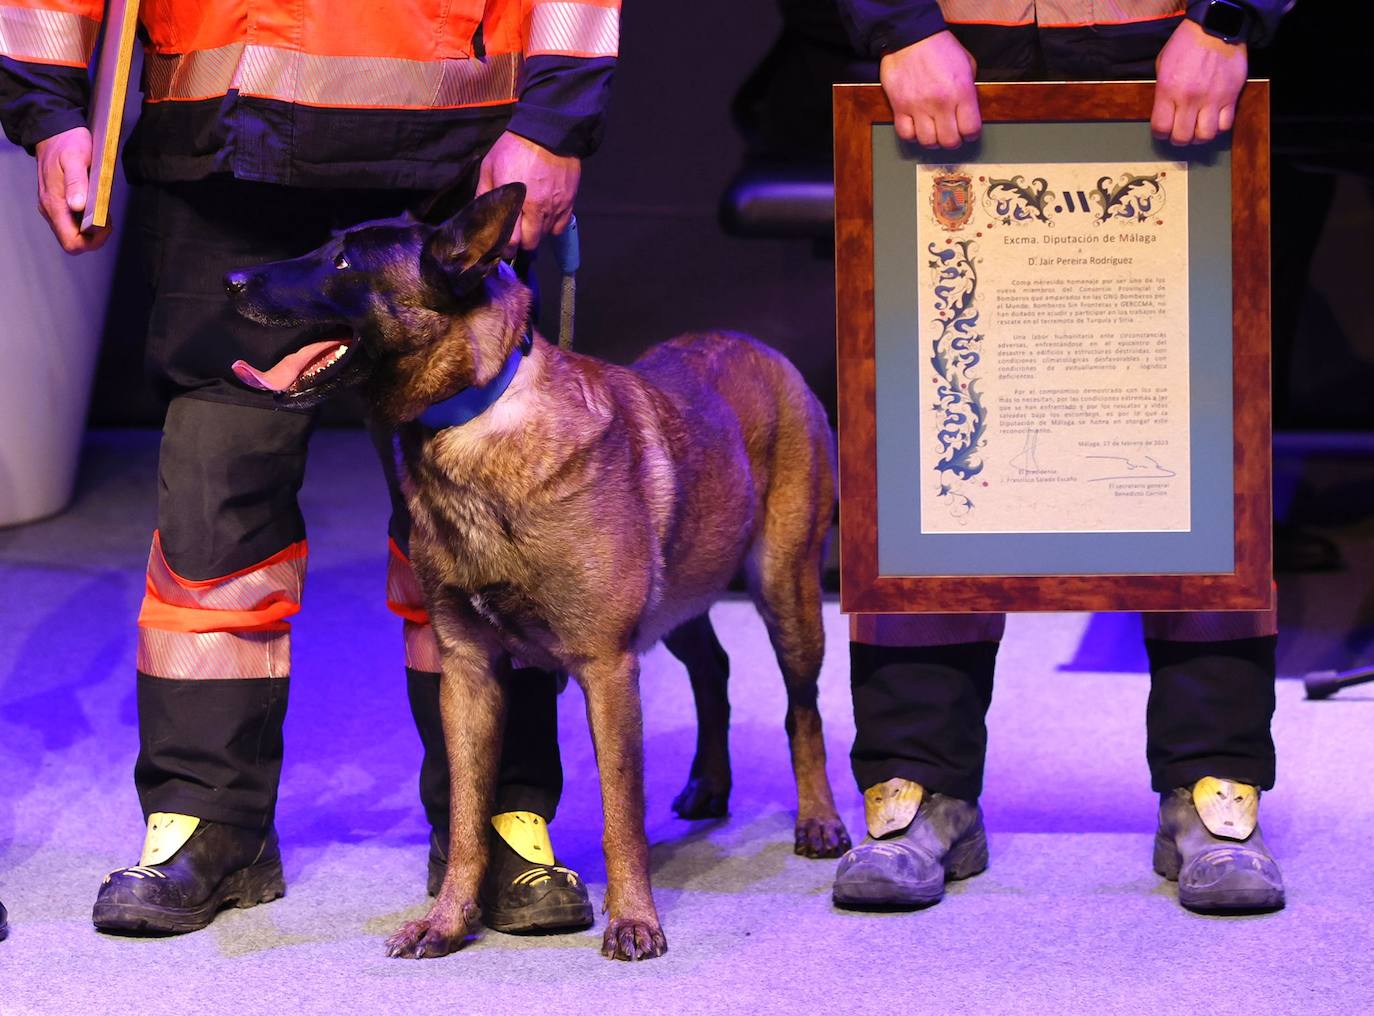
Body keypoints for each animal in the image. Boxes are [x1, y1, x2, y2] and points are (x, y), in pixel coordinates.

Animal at [225, 184, 846, 962]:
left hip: (785, 592)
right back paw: (709, 782)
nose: (231, 281)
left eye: (343, 260)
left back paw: (818, 818)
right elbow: (466, 814)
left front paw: (634, 918)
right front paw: (448, 920)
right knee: (715, 669)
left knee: (803, 708)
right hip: (681, 597)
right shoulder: (468, 673)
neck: (474, 420)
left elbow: (620, 812)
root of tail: (759, 346)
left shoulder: (608, 669)